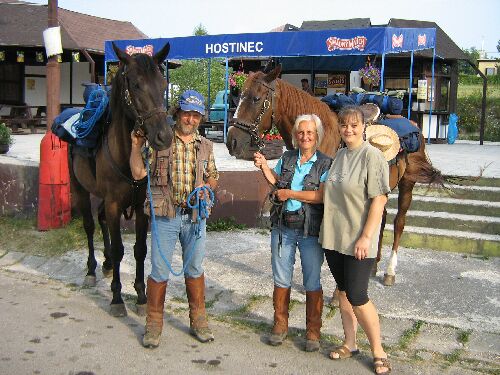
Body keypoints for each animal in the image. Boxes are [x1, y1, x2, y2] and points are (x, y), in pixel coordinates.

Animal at [69, 41, 173, 318]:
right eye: (136, 84)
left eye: (163, 83)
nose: (164, 136)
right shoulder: (115, 203)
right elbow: (119, 250)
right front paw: (117, 298)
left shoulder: (140, 205)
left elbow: (139, 249)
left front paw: (141, 295)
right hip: (79, 190)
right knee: (90, 225)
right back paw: (92, 269)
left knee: (102, 218)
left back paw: (104, 264)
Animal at [227, 65, 450, 288]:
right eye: (239, 96)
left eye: (256, 98)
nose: (232, 142)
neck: (325, 136)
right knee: (381, 218)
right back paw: (374, 265)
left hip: (407, 184)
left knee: (399, 223)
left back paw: (389, 271)